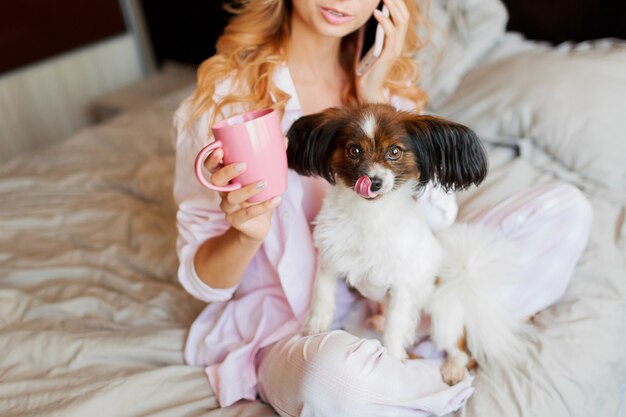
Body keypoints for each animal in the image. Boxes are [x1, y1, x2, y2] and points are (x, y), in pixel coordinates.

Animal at [286, 103, 528, 384]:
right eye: (354, 150)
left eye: (394, 152)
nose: (374, 182)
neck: (369, 215)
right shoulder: (329, 255)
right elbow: (321, 292)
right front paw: (315, 325)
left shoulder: (402, 287)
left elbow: (396, 327)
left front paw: (391, 360)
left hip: (443, 316)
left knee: (463, 352)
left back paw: (453, 368)